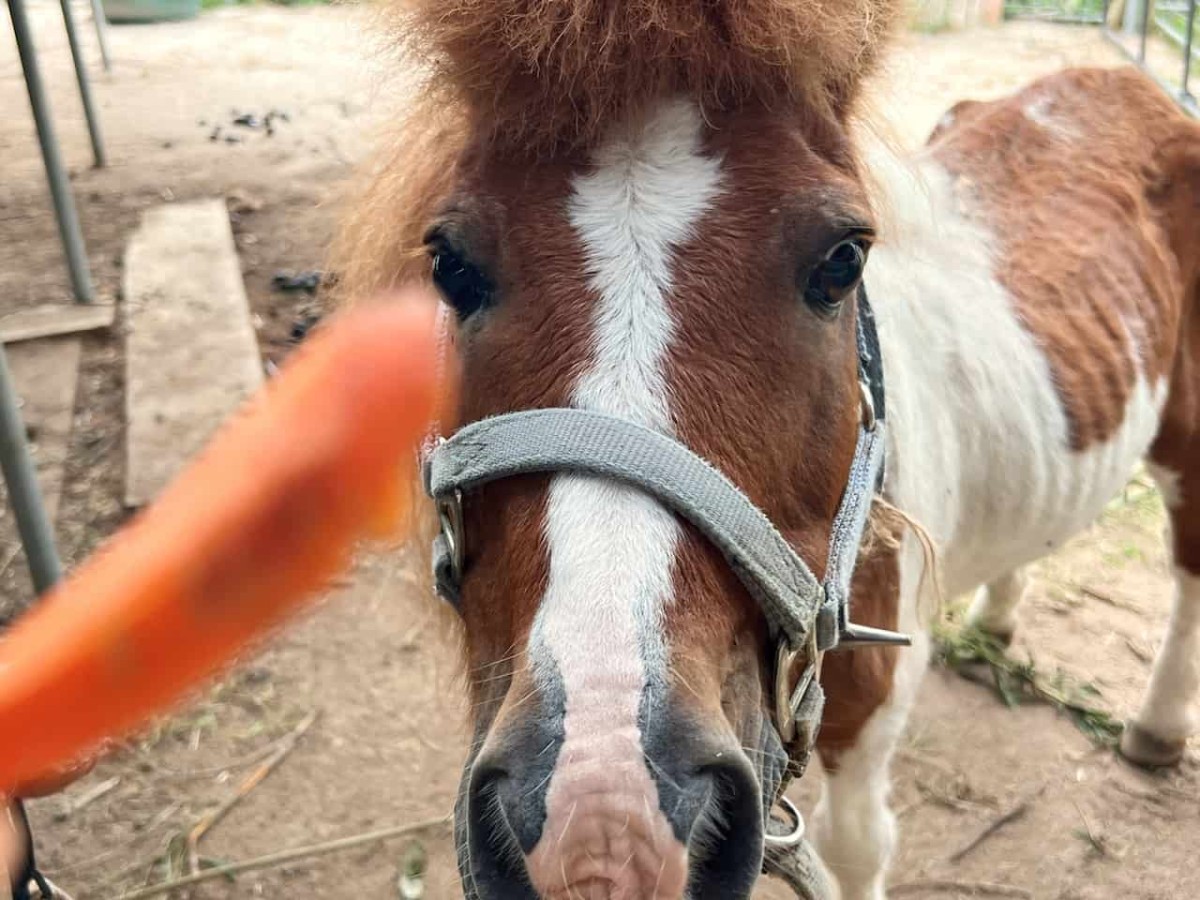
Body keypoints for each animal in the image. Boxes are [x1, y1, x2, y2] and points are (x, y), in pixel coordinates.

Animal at [331, 3, 1200, 897]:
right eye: (450, 263)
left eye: (842, 259)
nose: (603, 821)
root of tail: (1122, 81)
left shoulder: (870, 712)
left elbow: (857, 845)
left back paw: (1157, 728)